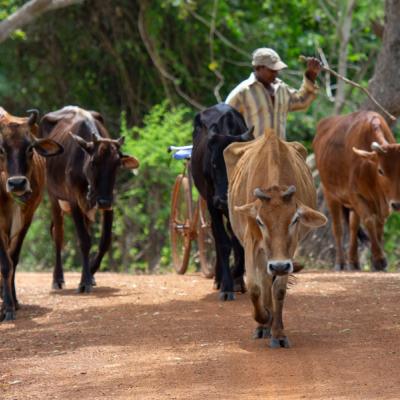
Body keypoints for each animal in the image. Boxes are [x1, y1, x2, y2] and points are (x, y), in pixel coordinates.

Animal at [0, 108, 63, 320]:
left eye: (29, 148)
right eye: (0, 149)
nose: (17, 183)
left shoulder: (26, 220)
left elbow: (13, 260)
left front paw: (11, 303)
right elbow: (5, 263)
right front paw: (7, 307)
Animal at [38, 106, 139, 294]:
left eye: (117, 165)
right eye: (94, 162)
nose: (102, 202)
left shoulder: (109, 204)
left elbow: (105, 241)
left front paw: (90, 274)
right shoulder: (74, 201)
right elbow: (84, 240)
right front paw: (84, 281)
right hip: (54, 198)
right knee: (58, 236)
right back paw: (57, 279)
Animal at [191, 103, 253, 300]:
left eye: (237, 164)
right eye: (213, 163)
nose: (223, 200)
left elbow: (240, 241)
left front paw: (236, 277)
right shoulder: (212, 203)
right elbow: (223, 243)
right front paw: (226, 285)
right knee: (219, 238)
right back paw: (219, 279)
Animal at [223, 128, 326, 346]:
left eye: (294, 220)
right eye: (260, 221)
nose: (278, 265)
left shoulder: (289, 250)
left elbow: (278, 289)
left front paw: (278, 333)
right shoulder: (251, 242)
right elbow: (254, 287)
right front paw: (263, 319)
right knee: (262, 280)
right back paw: (264, 325)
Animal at [314, 111, 398, 270]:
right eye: (380, 170)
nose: (397, 204)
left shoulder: (383, 202)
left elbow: (379, 224)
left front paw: (376, 261)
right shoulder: (356, 196)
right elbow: (369, 220)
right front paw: (379, 259)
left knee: (353, 226)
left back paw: (354, 261)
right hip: (330, 194)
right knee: (338, 228)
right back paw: (340, 262)